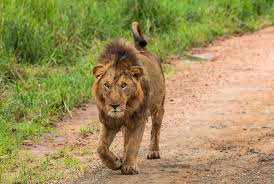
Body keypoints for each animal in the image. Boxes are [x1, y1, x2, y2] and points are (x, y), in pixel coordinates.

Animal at [91, 21, 165, 174]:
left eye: (124, 85)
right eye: (106, 85)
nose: (114, 106)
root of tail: (144, 50)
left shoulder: (138, 119)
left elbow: (133, 143)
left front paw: (129, 166)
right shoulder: (109, 121)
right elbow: (101, 148)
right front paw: (115, 163)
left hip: (158, 107)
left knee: (155, 130)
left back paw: (153, 152)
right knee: (126, 137)